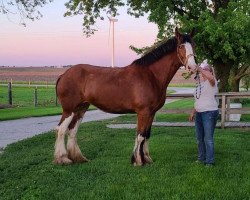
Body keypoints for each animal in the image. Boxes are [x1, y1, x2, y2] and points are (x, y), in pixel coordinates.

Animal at [54, 27, 197, 166]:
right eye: (181, 46)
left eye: (193, 45)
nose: (193, 67)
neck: (151, 76)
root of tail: (64, 75)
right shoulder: (143, 112)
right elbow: (140, 135)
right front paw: (138, 161)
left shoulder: (151, 113)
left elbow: (147, 134)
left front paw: (147, 158)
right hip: (69, 110)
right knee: (61, 129)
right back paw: (62, 158)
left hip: (81, 108)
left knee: (72, 130)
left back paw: (78, 157)